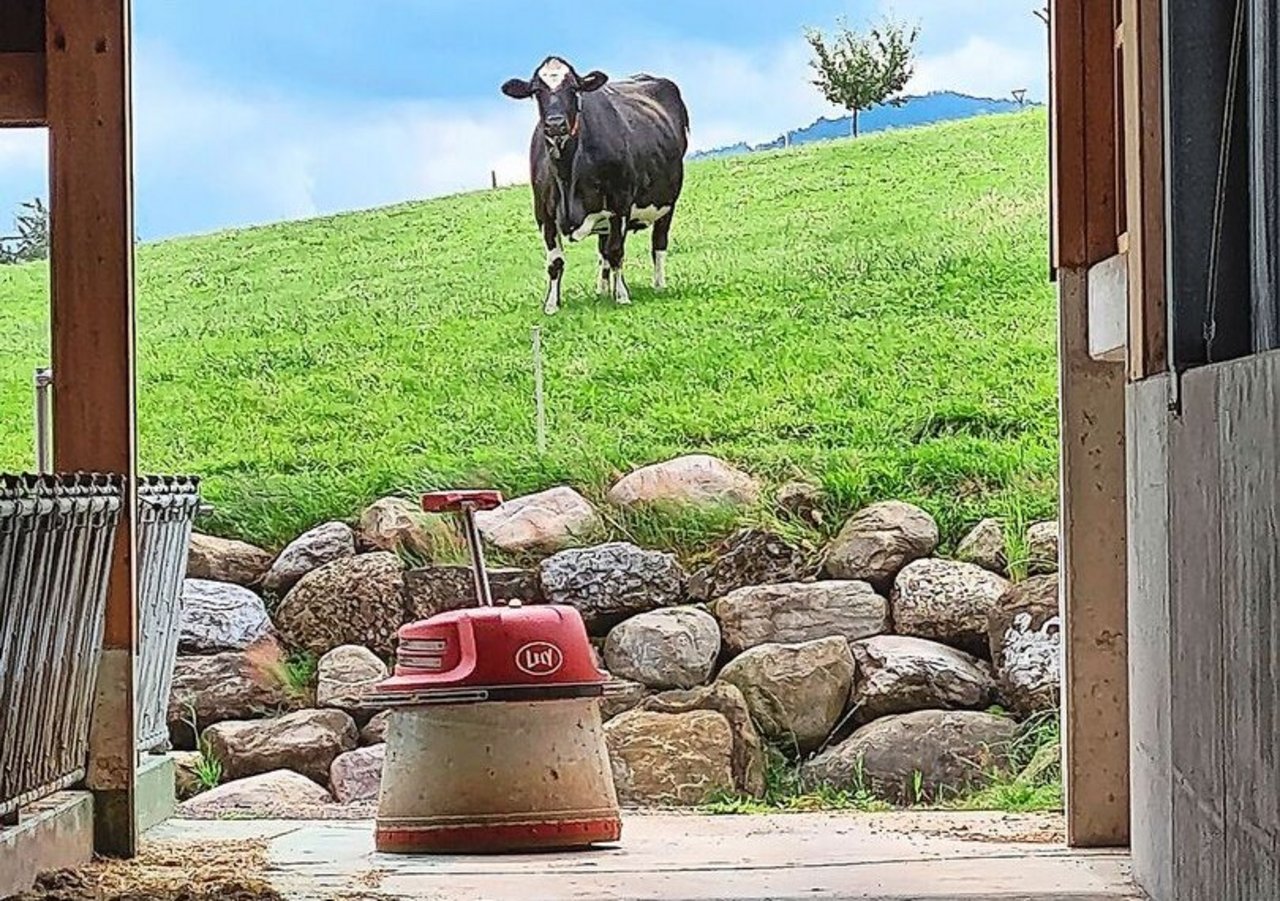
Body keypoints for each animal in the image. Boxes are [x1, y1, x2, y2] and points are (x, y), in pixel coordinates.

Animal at [499, 56, 691, 314]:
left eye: (573, 88)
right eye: (537, 91)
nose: (555, 124)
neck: (567, 176)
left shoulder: (620, 205)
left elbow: (617, 251)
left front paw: (622, 296)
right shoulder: (544, 214)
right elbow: (555, 261)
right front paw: (551, 304)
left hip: (667, 203)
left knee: (657, 244)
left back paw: (659, 285)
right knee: (603, 251)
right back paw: (602, 290)